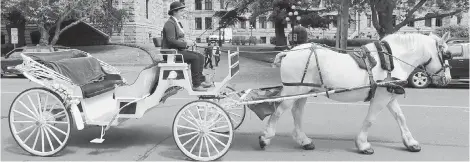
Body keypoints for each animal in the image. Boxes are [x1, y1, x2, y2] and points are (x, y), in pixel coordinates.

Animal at [264, 32, 452, 154]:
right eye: (446, 54)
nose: (447, 79)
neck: (391, 60)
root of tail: (288, 52)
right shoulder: (381, 97)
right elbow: (370, 120)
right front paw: (363, 144)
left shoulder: (389, 96)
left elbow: (401, 118)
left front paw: (410, 142)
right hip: (293, 90)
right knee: (278, 111)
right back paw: (266, 137)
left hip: (304, 91)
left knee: (297, 112)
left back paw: (304, 140)